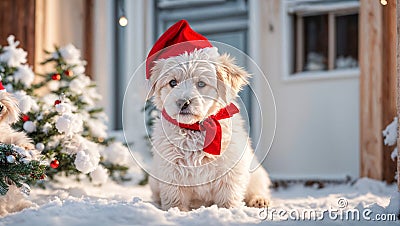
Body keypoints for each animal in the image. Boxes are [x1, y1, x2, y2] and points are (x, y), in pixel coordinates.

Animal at [148, 46, 272, 211]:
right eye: (173, 82)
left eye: (201, 84)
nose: (182, 102)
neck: (195, 129)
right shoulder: (170, 168)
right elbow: (175, 195)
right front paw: (175, 211)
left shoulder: (230, 167)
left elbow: (228, 194)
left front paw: (228, 210)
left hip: (256, 173)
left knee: (257, 188)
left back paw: (259, 200)